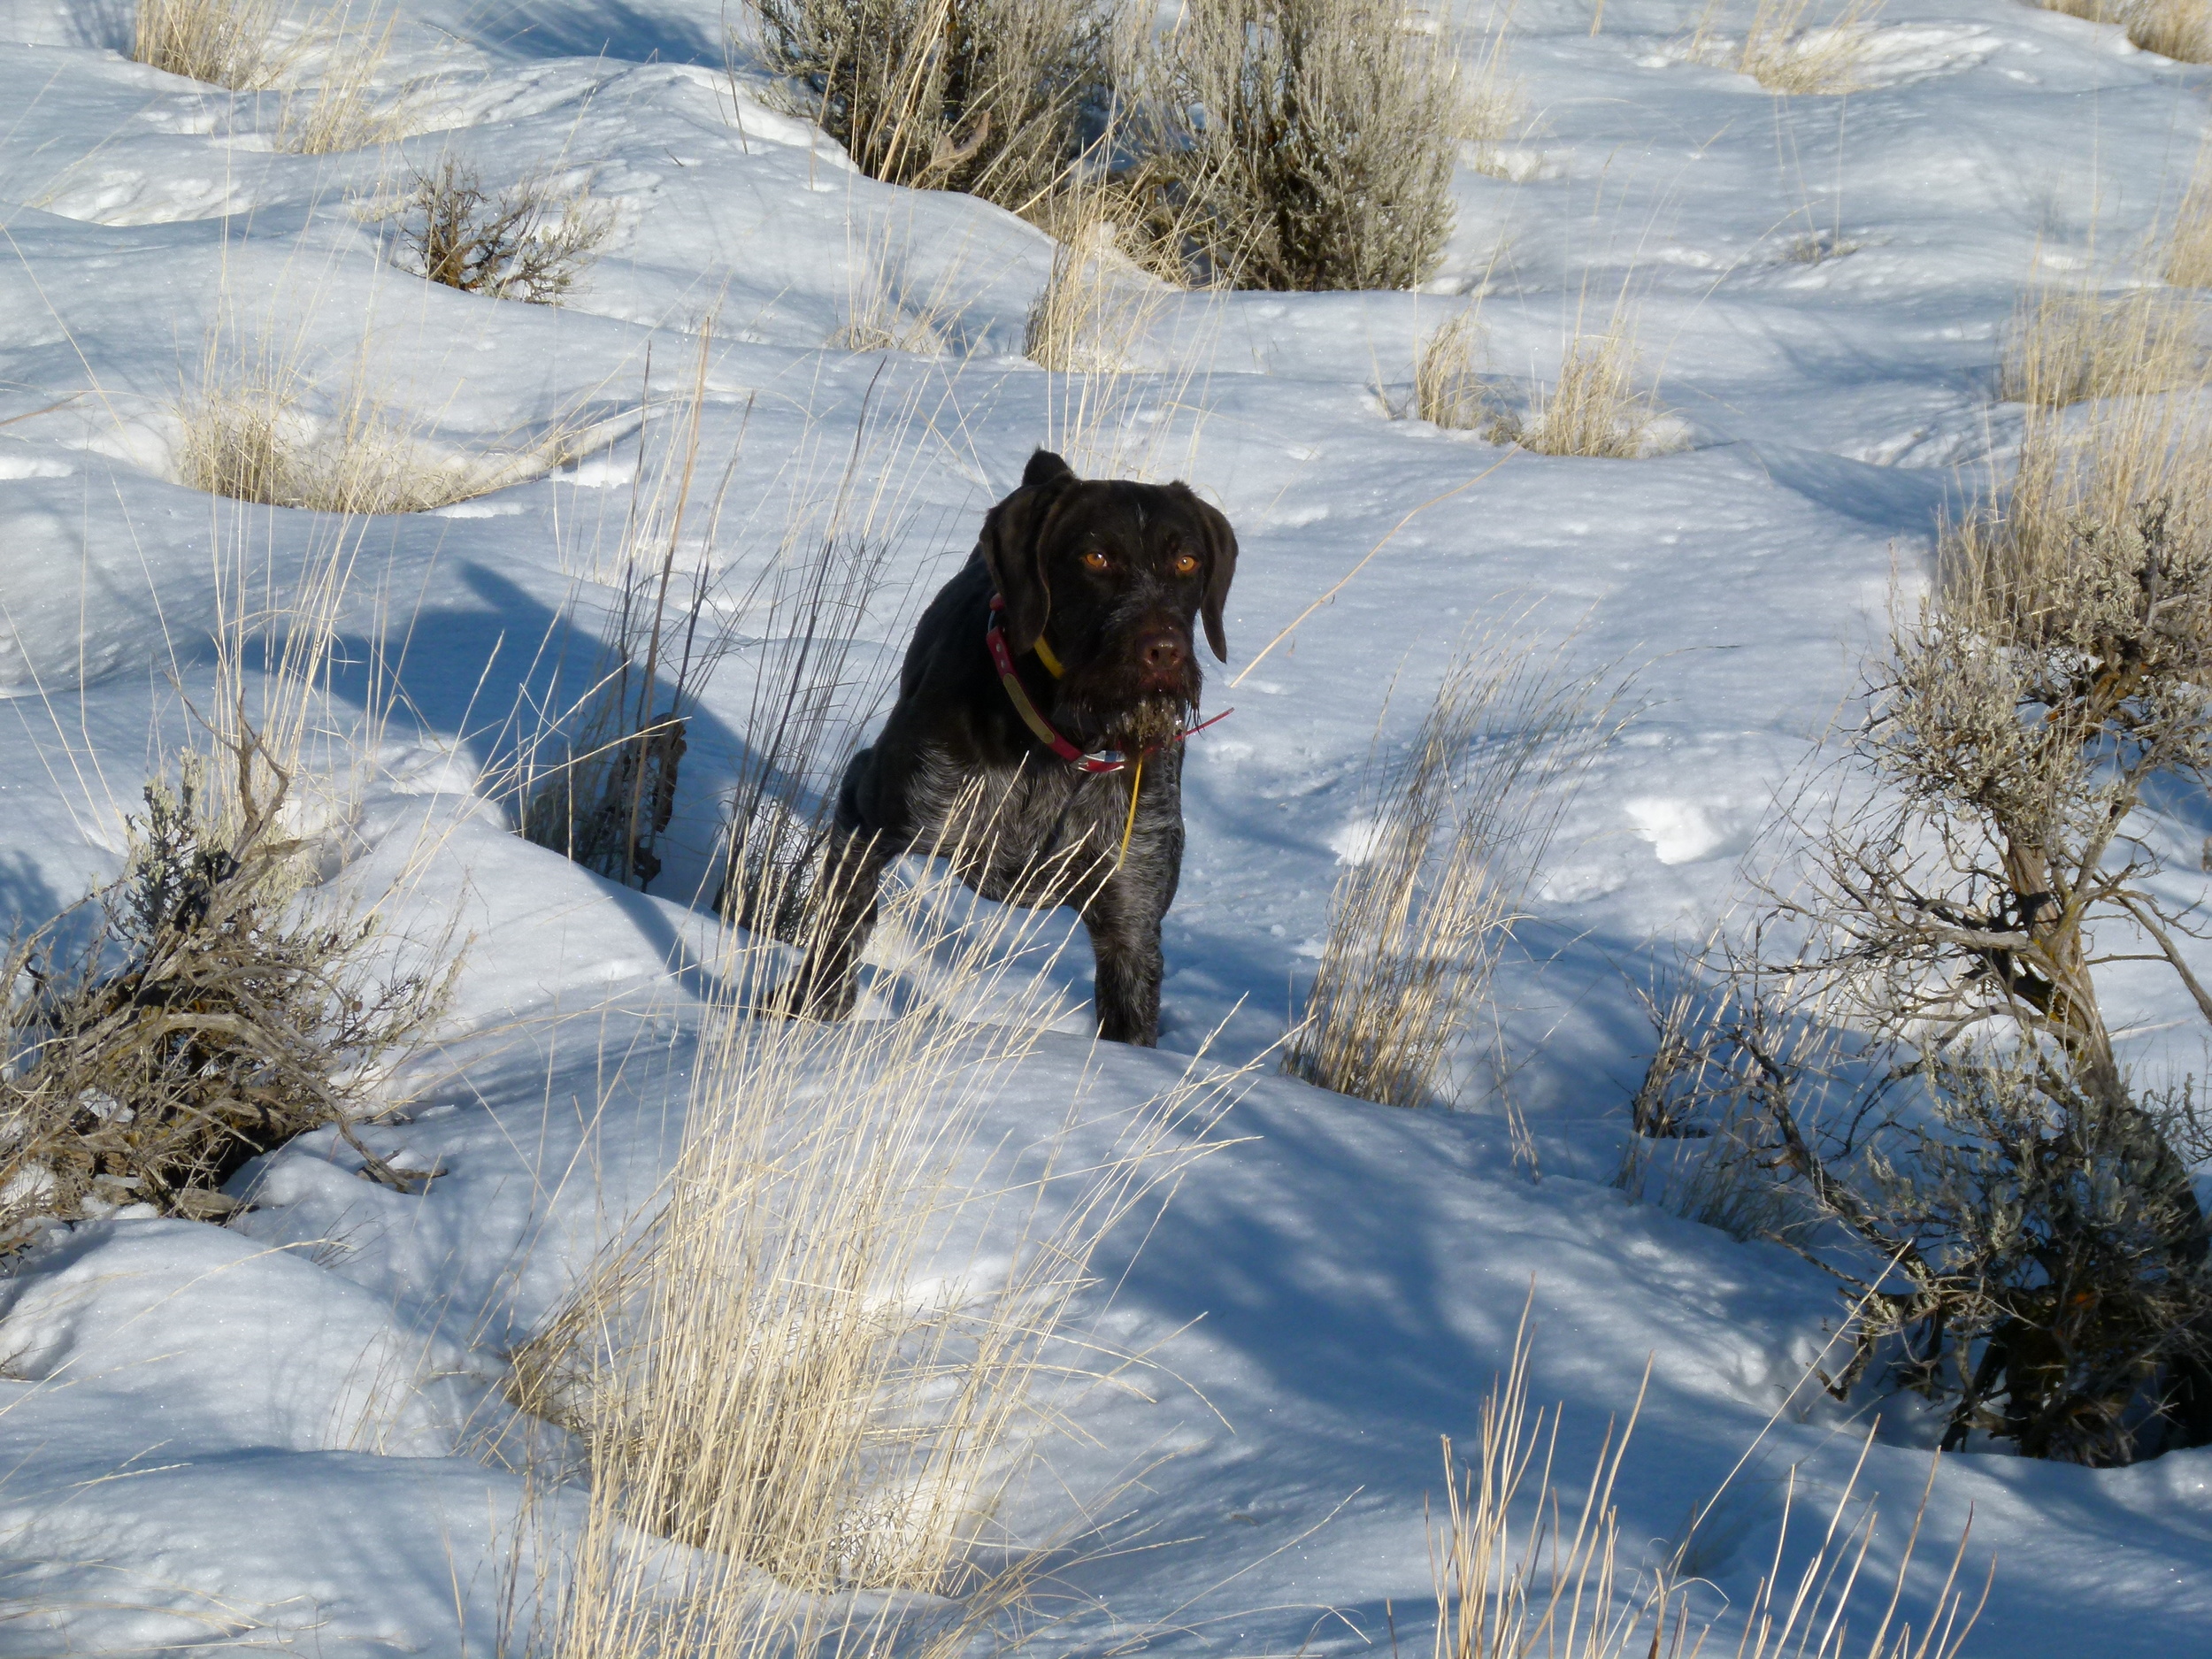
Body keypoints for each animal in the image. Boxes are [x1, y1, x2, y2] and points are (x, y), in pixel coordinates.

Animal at [779, 449, 1239, 1044]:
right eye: (1095, 557)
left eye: (1186, 562)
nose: (1164, 651)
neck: (1066, 743)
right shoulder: (867, 810)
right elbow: (841, 926)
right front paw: (814, 1016)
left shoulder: (1132, 924)